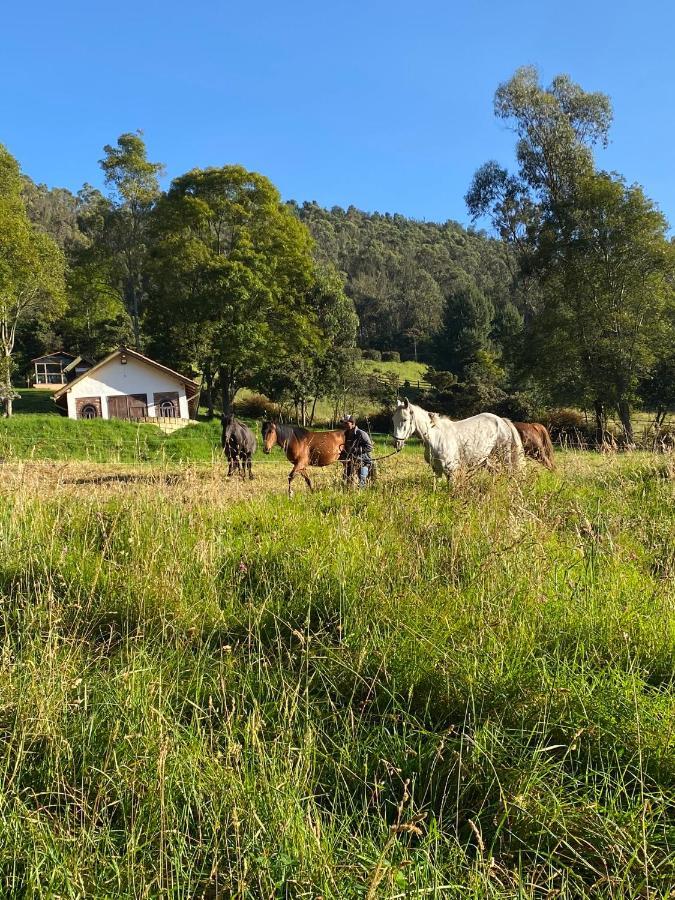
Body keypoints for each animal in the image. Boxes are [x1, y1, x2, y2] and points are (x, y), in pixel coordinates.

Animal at [394, 400, 524, 482]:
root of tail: (501, 420)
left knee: (509, 471)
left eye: (404, 419)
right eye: (393, 419)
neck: (435, 437)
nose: (397, 443)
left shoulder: (451, 471)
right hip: (485, 459)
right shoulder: (437, 470)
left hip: (504, 456)